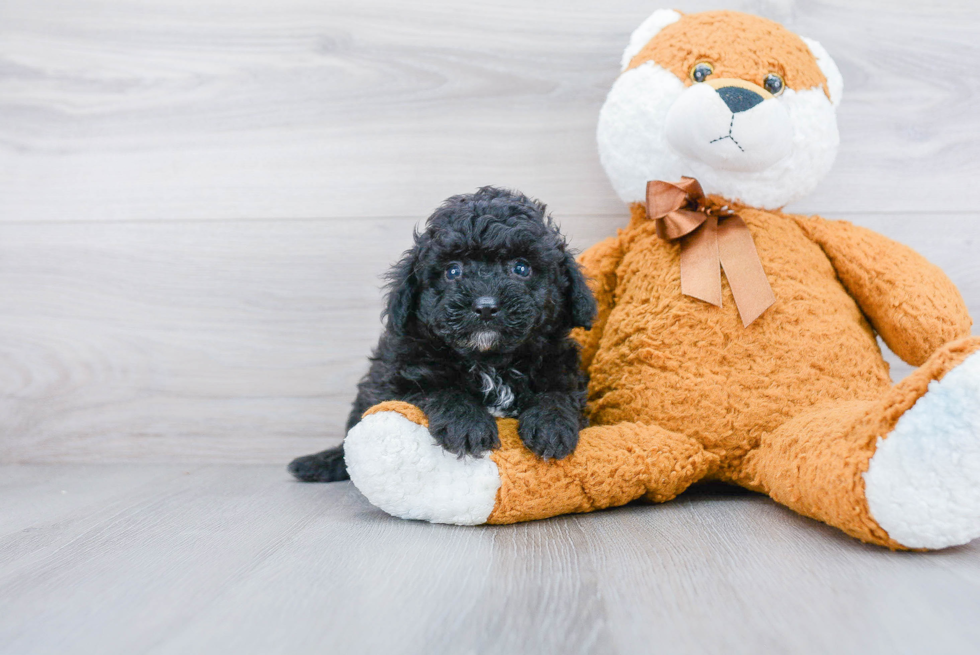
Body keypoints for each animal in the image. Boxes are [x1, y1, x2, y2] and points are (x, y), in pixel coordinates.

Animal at [290, 187, 596, 484]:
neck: (490, 362)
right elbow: (441, 390)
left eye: (521, 268)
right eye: (453, 270)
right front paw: (468, 426)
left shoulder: (561, 366)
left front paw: (552, 426)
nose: (486, 307)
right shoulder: (401, 378)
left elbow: (558, 393)